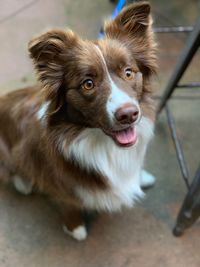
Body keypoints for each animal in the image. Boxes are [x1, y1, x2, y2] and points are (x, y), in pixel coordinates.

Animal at [0, 1, 157, 241]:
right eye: (88, 84)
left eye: (129, 72)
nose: (129, 114)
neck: (101, 142)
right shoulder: (58, 179)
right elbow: (68, 202)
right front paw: (76, 229)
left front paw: (141, 177)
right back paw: (23, 183)